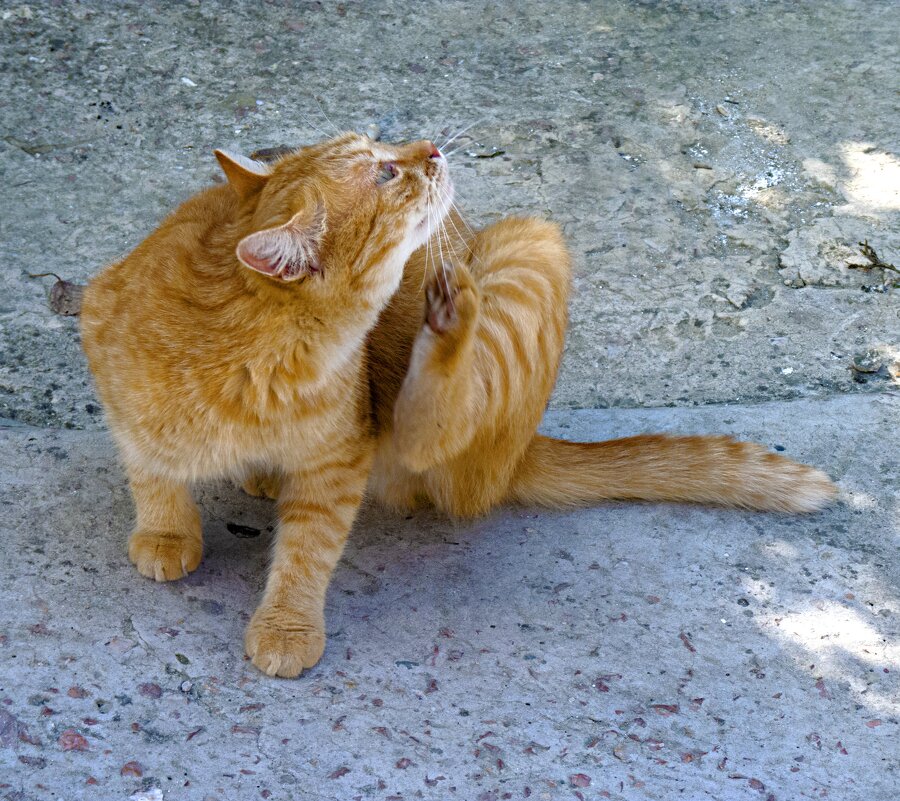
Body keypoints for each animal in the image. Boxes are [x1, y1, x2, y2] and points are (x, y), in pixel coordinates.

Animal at [82, 134, 836, 680]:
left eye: (386, 150)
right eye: (385, 172)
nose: (433, 148)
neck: (246, 359)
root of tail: (523, 449)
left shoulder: (339, 462)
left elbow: (306, 551)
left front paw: (287, 625)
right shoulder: (103, 337)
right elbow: (150, 469)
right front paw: (168, 531)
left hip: (527, 245)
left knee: (429, 428)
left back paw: (450, 318)